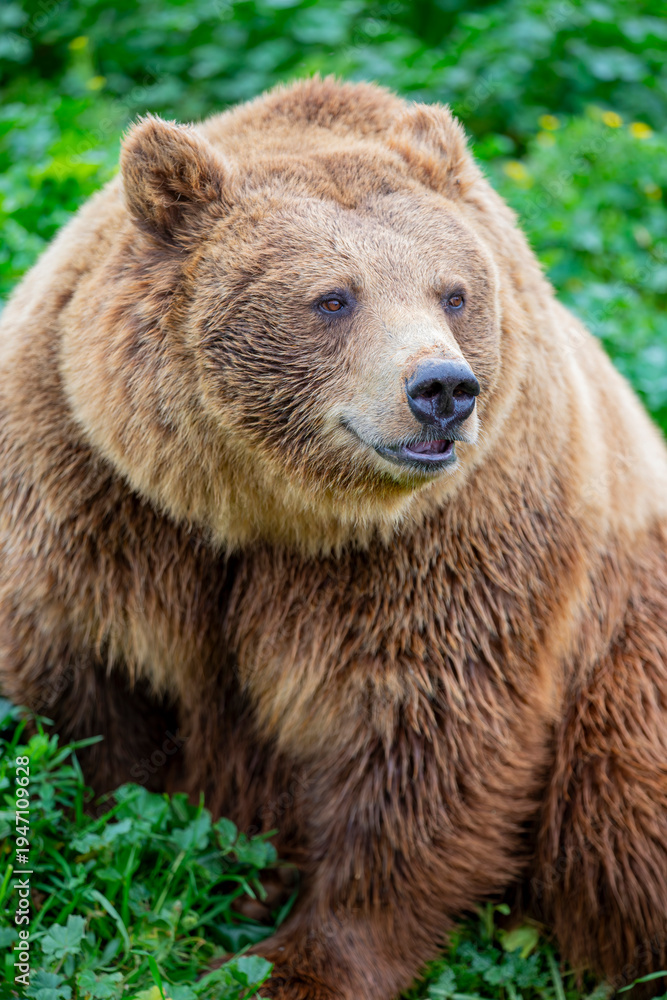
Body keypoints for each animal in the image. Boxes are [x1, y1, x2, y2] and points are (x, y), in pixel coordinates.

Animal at [2, 75, 667, 999]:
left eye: (452, 292)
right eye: (332, 297)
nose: (442, 389)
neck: (265, 505)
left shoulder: (449, 536)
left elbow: (420, 736)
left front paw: (293, 961)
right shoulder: (99, 490)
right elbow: (85, 690)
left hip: (625, 648)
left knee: (618, 808)